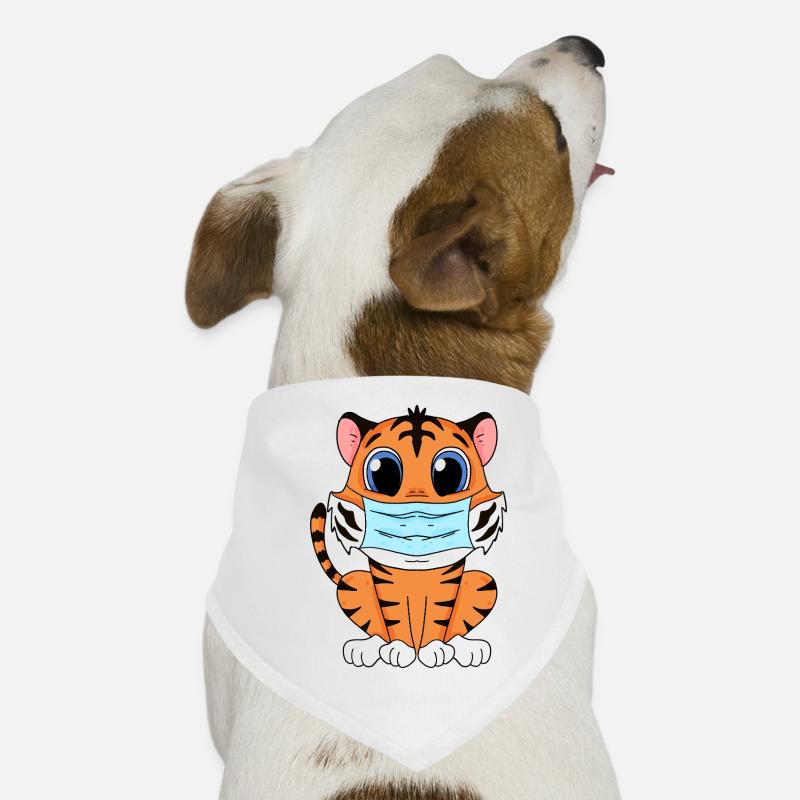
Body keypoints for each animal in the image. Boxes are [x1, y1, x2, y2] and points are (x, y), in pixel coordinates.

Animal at [310, 405, 506, 668]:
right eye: (383, 472)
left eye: (451, 473)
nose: (416, 521)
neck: (416, 570)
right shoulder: (384, 580)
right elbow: (395, 618)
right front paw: (399, 649)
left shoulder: (449, 580)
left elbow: (438, 618)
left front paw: (434, 648)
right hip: (352, 583)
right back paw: (365, 647)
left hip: (481, 583)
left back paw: (467, 647)